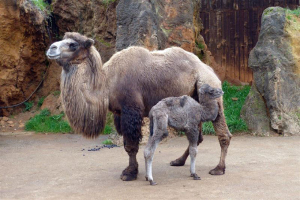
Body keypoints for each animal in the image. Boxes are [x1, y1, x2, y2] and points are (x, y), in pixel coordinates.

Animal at [45, 32, 232, 181]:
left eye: (73, 44)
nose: (51, 48)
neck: (107, 83)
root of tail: (209, 69)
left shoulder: (131, 110)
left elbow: (131, 145)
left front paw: (129, 173)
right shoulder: (119, 114)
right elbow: (127, 145)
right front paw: (131, 170)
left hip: (209, 88)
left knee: (223, 134)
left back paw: (219, 169)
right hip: (192, 102)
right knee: (197, 136)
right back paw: (178, 161)